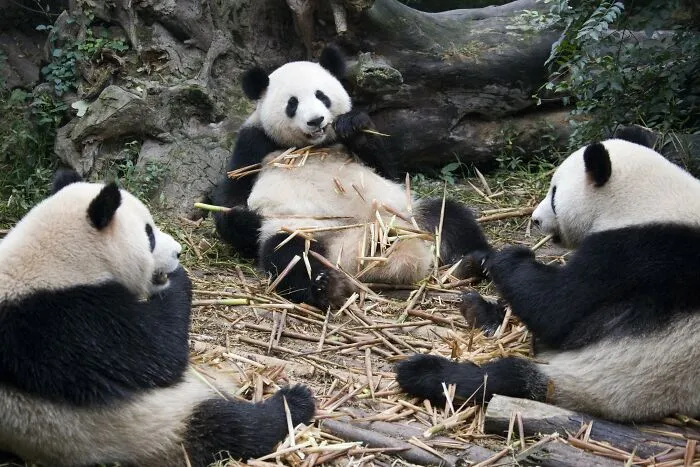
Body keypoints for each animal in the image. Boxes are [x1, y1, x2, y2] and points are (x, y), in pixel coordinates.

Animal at [0, 169, 315, 466]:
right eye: (149, 234)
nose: (178, 252)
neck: (53, 260)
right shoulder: (68, 324)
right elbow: (157, 354)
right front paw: (179, 280)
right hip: (155, 426)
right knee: (232, 427)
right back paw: (294, 402)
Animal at [210, 45, 489, 309]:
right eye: (292, 103)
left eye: (321, 95)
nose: (316, 120)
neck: (311, 146)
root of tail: (363, 253)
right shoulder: (253, 144)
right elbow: (232, 194)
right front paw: (243, 217)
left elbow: (387, 169)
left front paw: (354, 126)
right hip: (305, 231)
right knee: (290, 256)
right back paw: (326, 287)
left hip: (408, 215)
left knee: (450, 217)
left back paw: (474, 262)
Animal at [395, 138, 700, 422]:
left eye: (554, 194)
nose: (535, 220)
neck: (650, 198)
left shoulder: (632, 251)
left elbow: (557, 308)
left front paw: (509, 257)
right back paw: (479, 310)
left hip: (609, 375)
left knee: (503, 377)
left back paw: (423, 372)